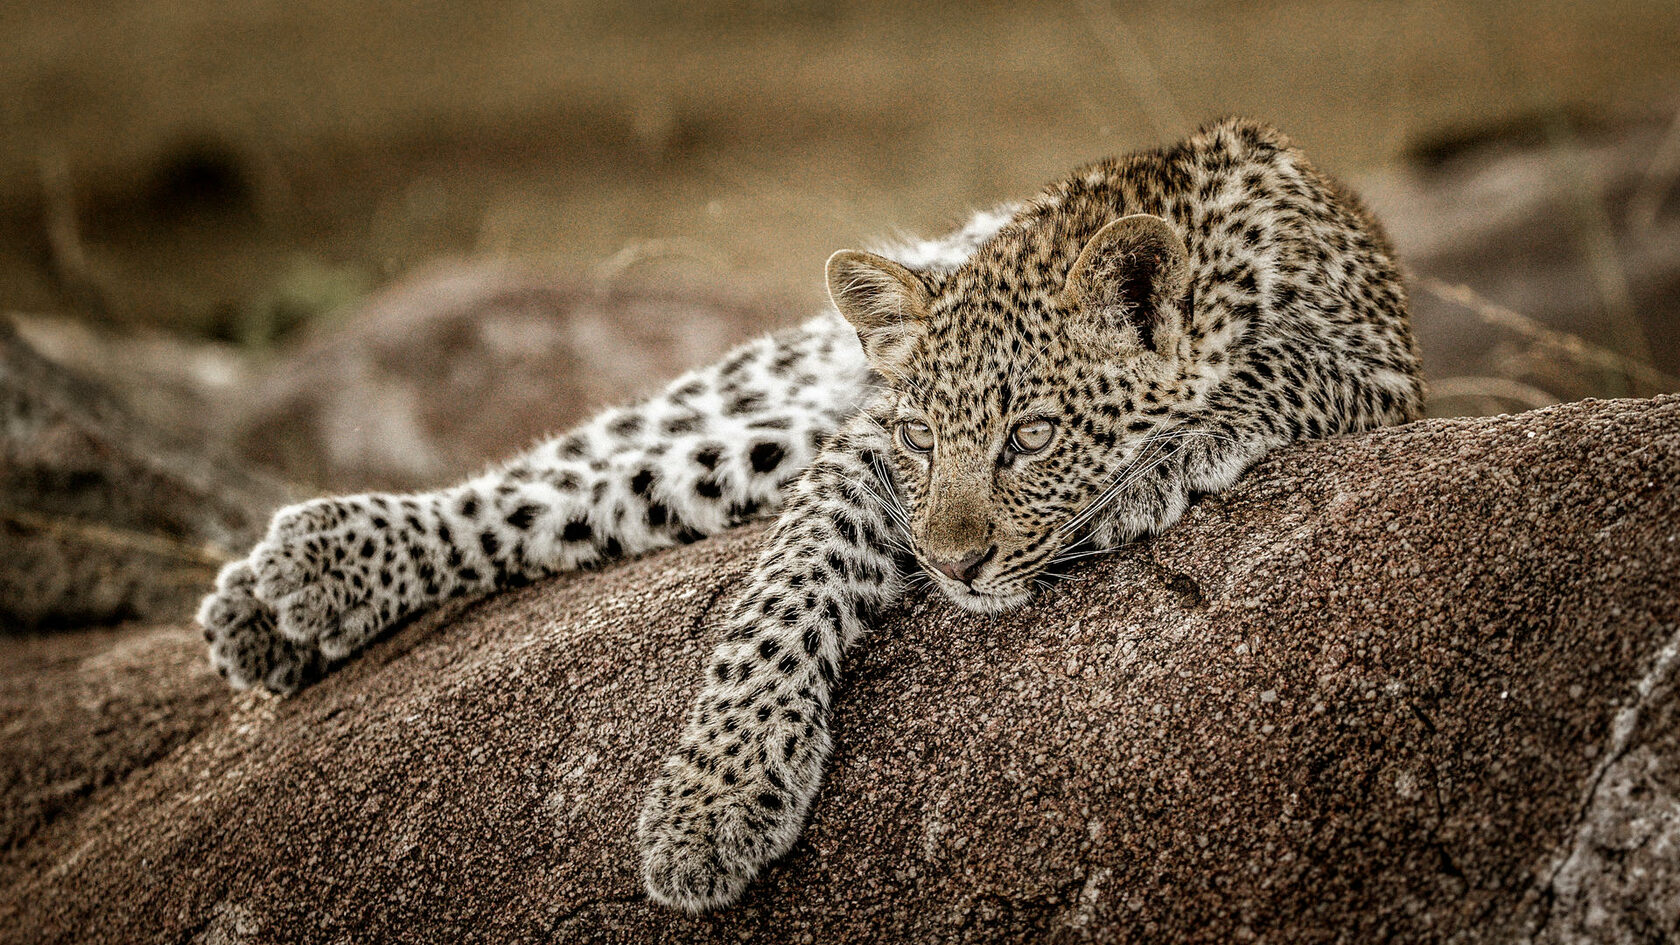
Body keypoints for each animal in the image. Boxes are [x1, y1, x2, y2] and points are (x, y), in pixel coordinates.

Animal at [197, 117, 1423, 912]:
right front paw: (715, 798)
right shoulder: (856, 458)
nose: (954, 565)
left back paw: (284, 602)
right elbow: (779, 599)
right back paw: (295, 577)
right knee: (561, 476)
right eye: (922, 440)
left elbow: (1286, 366)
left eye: (1031, 437)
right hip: (770, 403)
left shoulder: (1387, 373)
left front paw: (1166, 460)